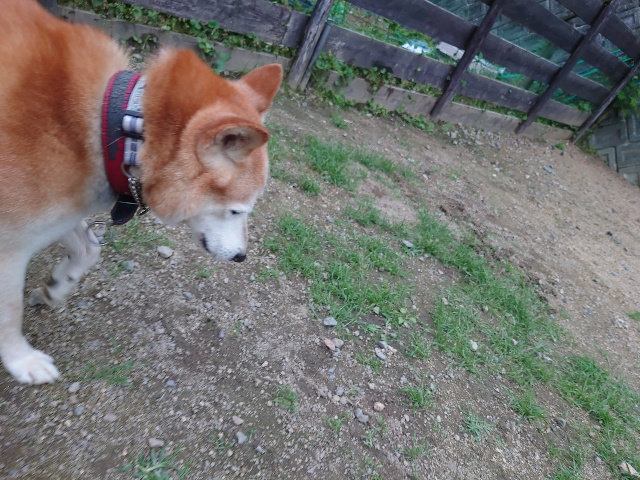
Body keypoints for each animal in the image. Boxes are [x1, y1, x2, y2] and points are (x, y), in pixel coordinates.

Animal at [0, 0, 283, 385]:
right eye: (238, 210)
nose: (242, 257)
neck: (118, 128)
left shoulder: (57, 213)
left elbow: (89, 249)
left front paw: (57, 286)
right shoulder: (11, 242)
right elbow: (9, 310)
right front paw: (22, 360)